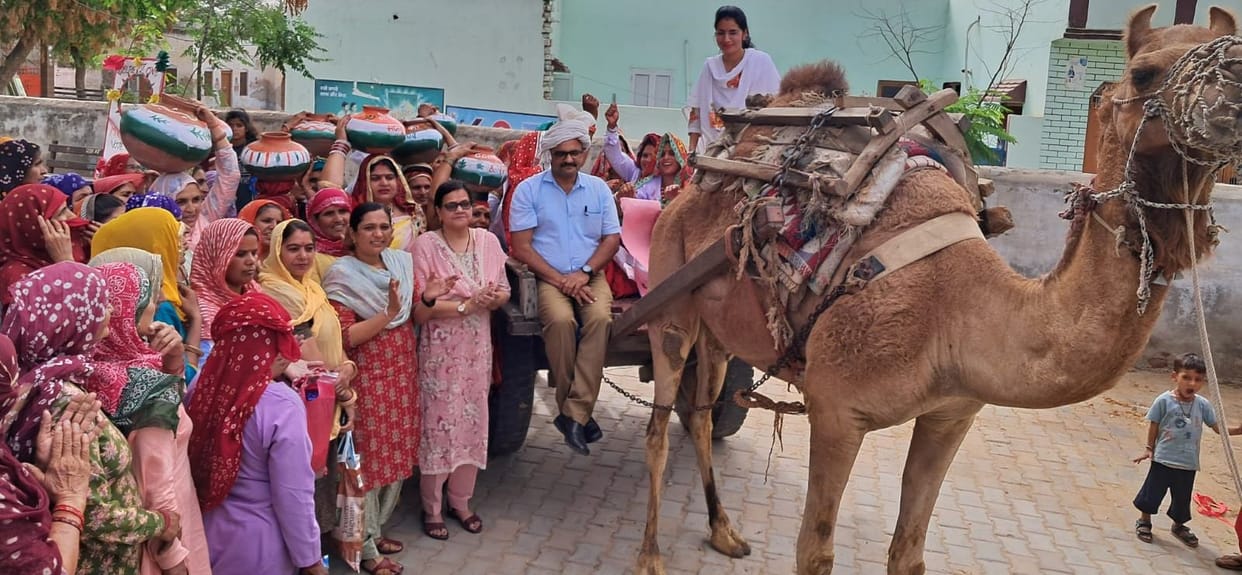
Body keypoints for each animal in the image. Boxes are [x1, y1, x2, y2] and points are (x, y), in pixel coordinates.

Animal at [636, 5, 1242, 574]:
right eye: (1143, 73)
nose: (1234, 82)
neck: (960, 311)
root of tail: (688, 183)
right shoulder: (837, 410)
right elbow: (815, 552)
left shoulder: (952, 415)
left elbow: (909, 552)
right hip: (670, 293)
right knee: (659, 422)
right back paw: (650, 556)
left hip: (720, 329)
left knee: (701, 410)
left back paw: (723, 532)